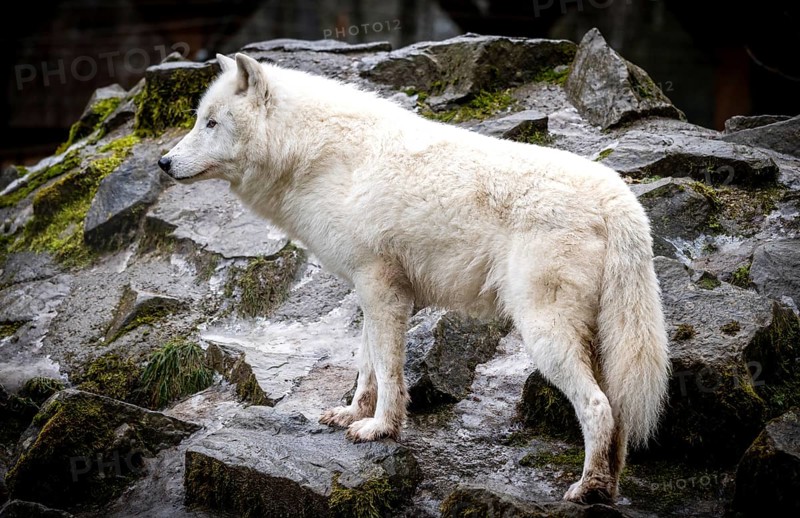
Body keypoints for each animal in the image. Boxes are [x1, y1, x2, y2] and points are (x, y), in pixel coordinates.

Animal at [158, 52, 671, 504]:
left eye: (211, 123)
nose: (163, 163)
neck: (316, 157)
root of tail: (620, 200)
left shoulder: (382, 289)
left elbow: (388, 370)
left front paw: (381, 428)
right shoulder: (369, 291)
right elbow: (365, 365)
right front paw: (352, 414)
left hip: (545, 334)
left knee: (598, 408)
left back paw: (586, 490)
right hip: (600, 341)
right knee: (618, 415)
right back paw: (607, 488)